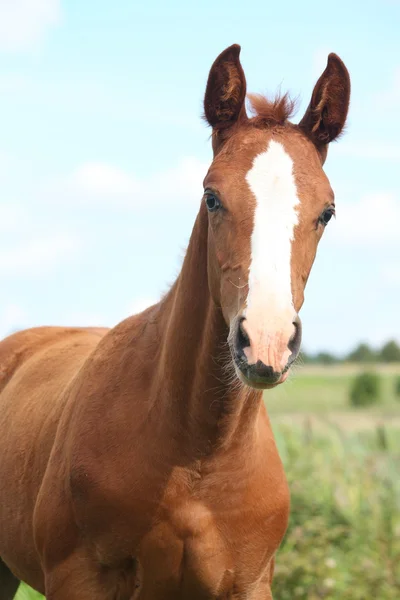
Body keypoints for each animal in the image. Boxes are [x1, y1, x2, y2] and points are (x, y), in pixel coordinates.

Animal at [0, 44, 350, 596]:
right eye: (212, 196)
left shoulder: (250, 582)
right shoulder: (79, 580)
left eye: (327, 211)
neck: (199, 457)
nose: (266, 342)